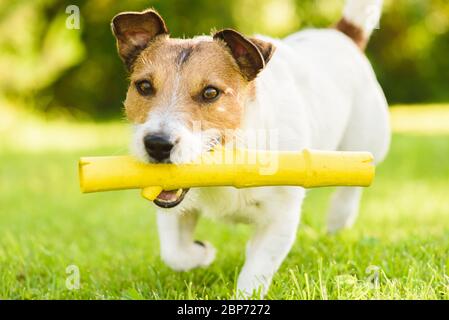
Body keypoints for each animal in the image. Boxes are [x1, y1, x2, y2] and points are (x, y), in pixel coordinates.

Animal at [111, 0, 388, 298]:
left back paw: (339, 218)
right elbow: (174, 253)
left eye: (210, 93)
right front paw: (202, 253)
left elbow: (256, 271)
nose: (157, 144)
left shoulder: (281, 217)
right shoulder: (173, 208)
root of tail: (340, 34)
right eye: (144, 86)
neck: (232, 155)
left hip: (366, 143)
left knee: (352, 183)